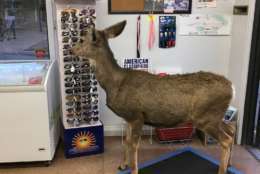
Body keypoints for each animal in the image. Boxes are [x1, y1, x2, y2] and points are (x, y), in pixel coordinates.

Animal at [72, 20, 237, 174]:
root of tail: (231, 87)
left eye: (81, 39)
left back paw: (222, 169)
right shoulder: (128, 118)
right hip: (215, 116)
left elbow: (133, 145)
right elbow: (126, 141)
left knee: (226, 140)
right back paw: (229, 164)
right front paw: (122, 165)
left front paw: (133, 169)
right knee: (231, 129)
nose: (70, 49)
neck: (115, 83)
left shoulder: (137, 115)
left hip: (206, 117)